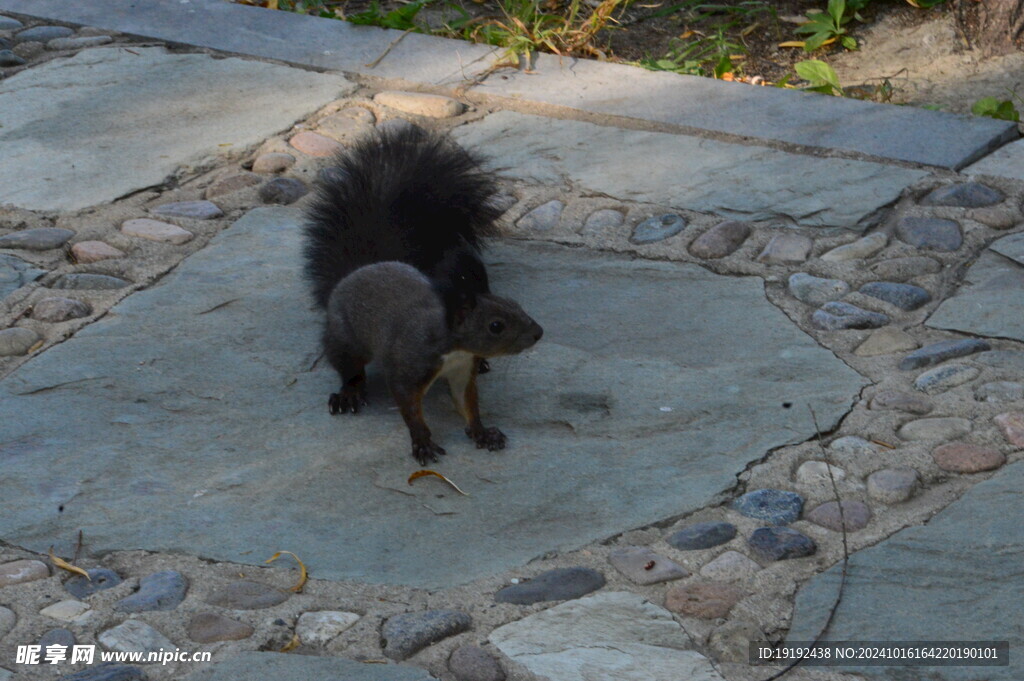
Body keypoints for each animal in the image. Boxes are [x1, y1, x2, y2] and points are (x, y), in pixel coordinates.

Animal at [301, 122, 544, 464]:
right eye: (495, 326)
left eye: (516, 305)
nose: (538, 333)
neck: (454, 349)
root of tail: (358, 270)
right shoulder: (410, 366)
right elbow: (409, 407)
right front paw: (422, 442)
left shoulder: (461, 372)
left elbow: (468, 405)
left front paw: (483, 432)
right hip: (345, 336)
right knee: (348, 365)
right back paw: (349, 393)